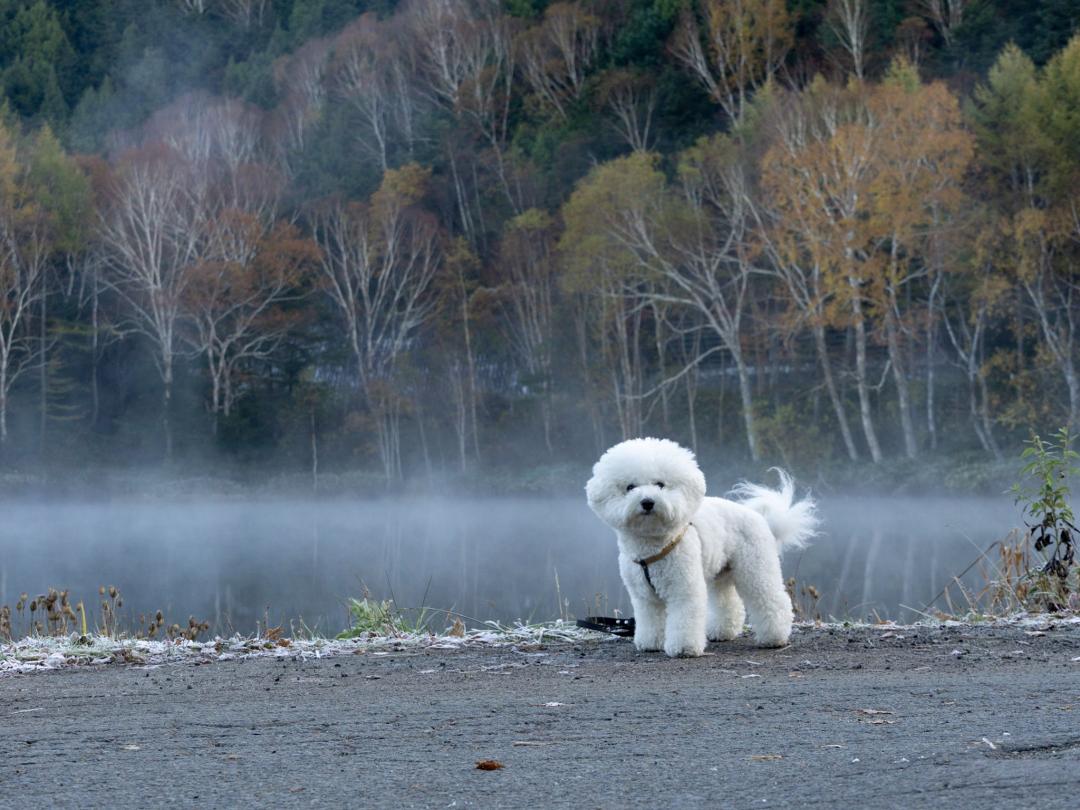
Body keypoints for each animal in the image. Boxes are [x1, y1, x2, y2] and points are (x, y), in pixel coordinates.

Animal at [587, 438, 812, 660]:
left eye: (660, 484)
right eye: (630, 487)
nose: (648, 502)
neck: (653, 544)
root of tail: (761, 519)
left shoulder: (684, 588)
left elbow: (684, 619)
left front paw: (683, 648)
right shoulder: (644, 597)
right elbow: (651, 619)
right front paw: (651, 643)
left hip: (757, 569)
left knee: (772, 600)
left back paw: (775, 638)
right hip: (722, 575)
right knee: (728, 603)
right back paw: (721, 632)